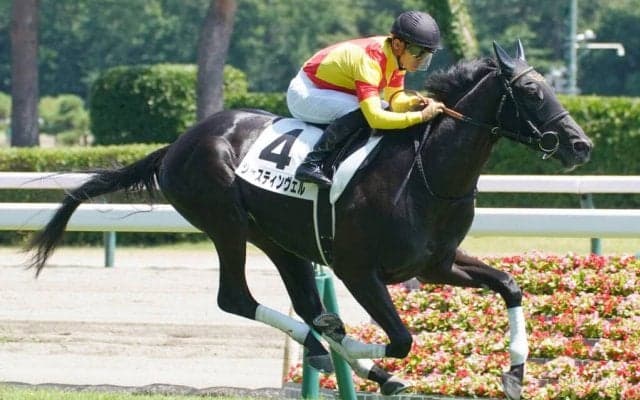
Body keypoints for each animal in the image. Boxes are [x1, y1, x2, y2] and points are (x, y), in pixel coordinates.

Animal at [27, 41, 592, 399]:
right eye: (534, 92)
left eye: (551, 87)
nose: (580, 145)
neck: (426, 171)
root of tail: (178, 143)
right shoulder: (358, 270)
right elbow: (401, 338)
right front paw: (363, 349)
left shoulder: (436, 264)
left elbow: (510, 285)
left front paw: (514, 375)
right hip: (225, 223)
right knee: (236, 298)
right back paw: (338, 347)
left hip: (280, 239)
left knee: (298, 299)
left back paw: (326, 344)